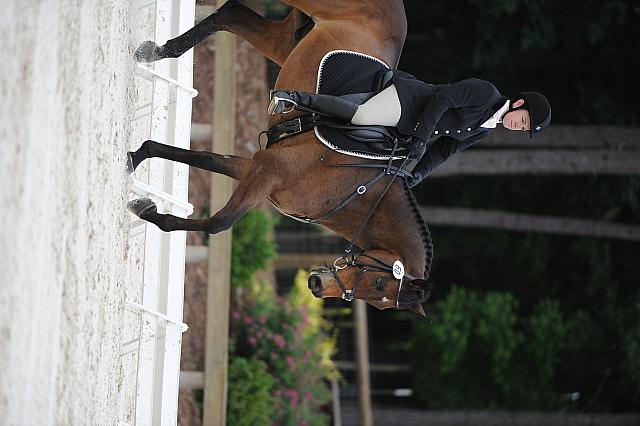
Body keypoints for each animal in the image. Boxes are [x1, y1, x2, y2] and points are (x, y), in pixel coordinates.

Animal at [127, 0, 432, 318]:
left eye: (378, 300)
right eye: (378, 281)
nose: (316, 285)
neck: (358, 190)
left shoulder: (257, 167)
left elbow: (205, 158)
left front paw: (137, 157)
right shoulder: (268, 171)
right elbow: (220, 222)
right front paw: (146, 209)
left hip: (285, 43)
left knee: (232, 14)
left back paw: (156, 51)